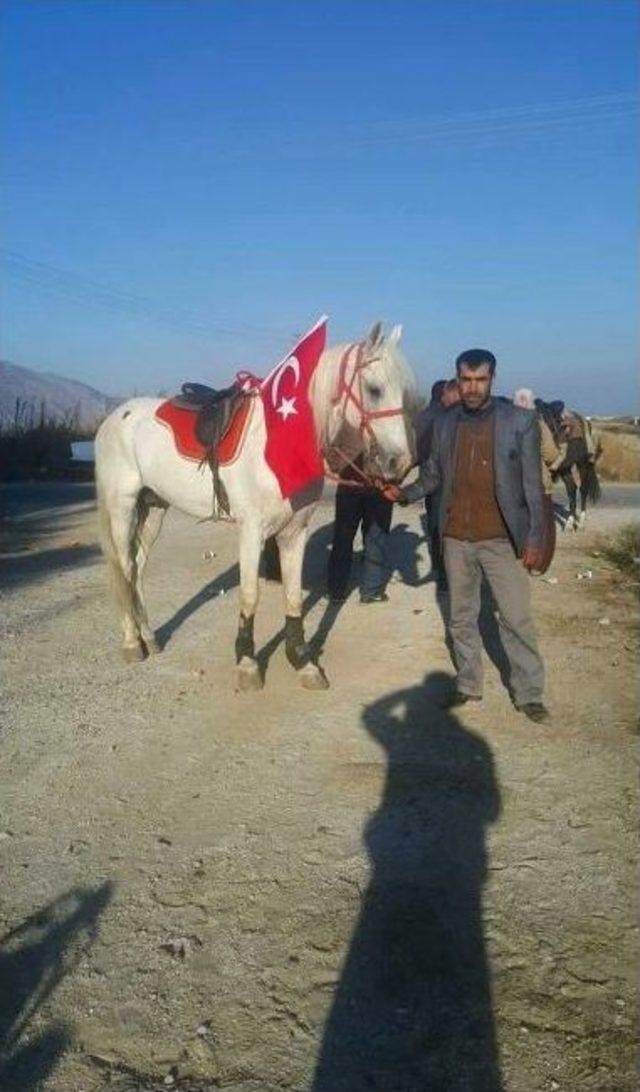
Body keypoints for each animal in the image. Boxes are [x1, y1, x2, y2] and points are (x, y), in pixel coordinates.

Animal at [93, 318, 412, 685]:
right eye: (374, 389)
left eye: (403, 390)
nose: (399, 463)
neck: (283, 446)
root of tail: (113, 418)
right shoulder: (251, 531)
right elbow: (250, 595)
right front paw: (247, 662)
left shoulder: (294, 533)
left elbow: (293, 598)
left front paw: (303, 662)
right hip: (123, 508)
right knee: (125, 569)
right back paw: (132, 642)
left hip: (154, 508)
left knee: (138, 568)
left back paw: (149, 637)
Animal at [535, 404, 598, 535]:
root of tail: (584, 420)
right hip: (565, 467)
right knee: (571, 489)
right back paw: (569, 524)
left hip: (582, 464)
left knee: (583, 489)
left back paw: (580, 524)